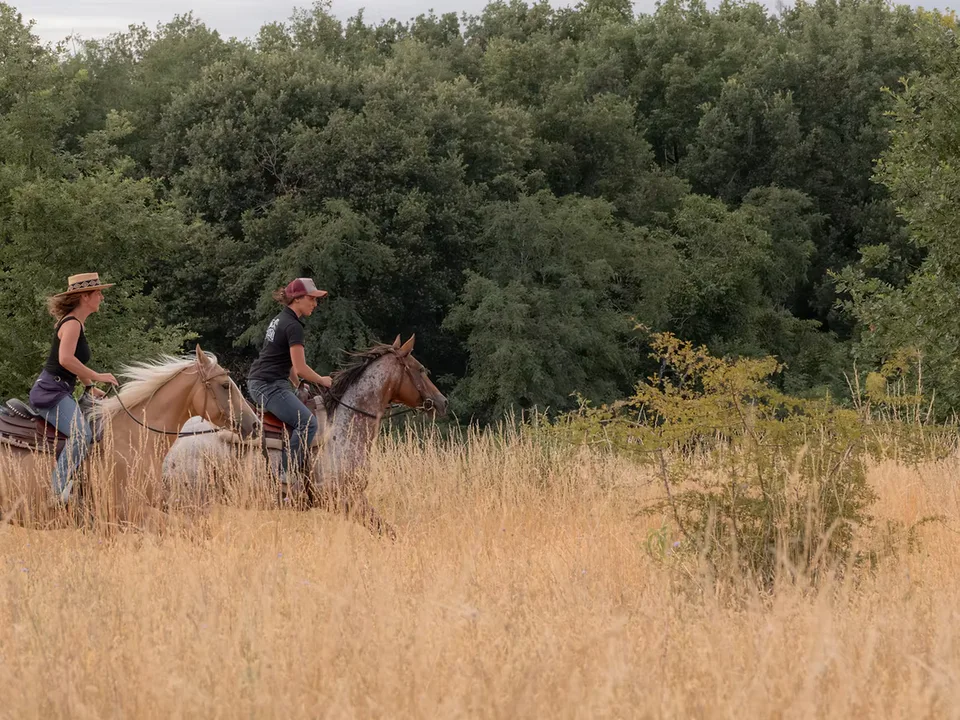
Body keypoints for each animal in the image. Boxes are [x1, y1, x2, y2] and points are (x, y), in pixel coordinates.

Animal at [164, 335, 448, 537]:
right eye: (420, 369)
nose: (442, 402)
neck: (344, 424)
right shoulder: (347, 500)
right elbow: (387, 531)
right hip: (193, 502)